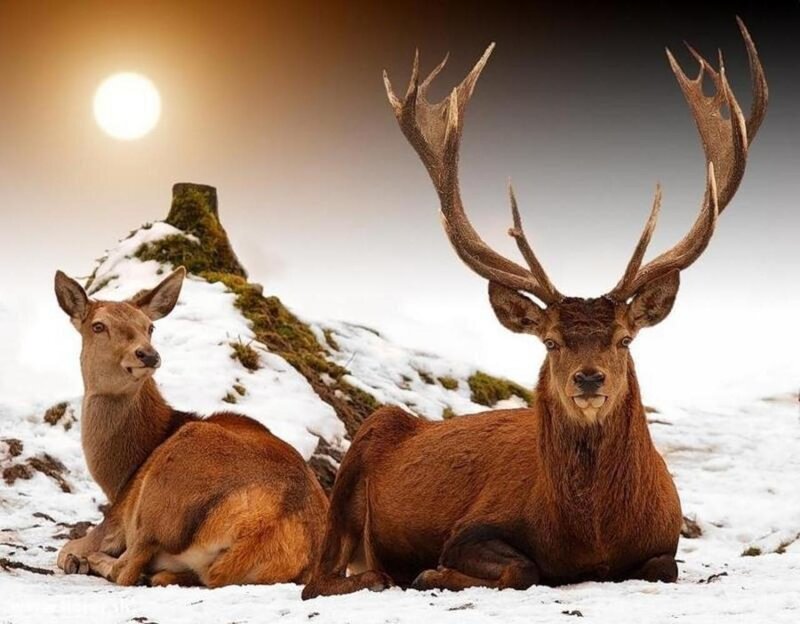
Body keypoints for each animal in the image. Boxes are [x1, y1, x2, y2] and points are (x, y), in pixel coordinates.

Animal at [53, 266, 329, 587]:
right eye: (98, 326)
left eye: (150, 327)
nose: (148, 354)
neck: (120, 475)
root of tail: (263, 528)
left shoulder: (117, 516)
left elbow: (68, 549)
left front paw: (77, 559)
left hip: (160, 500)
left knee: (128, 567)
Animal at [302, 19, 767, 598]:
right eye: (550, 341)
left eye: (624, 338)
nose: (588, 378)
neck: (591, 538)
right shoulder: (470, 529)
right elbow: (522, 568)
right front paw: (432, 572)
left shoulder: (665, 539)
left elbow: (663, 565)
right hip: (355, 458)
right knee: (317, 578)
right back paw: (383, 576)